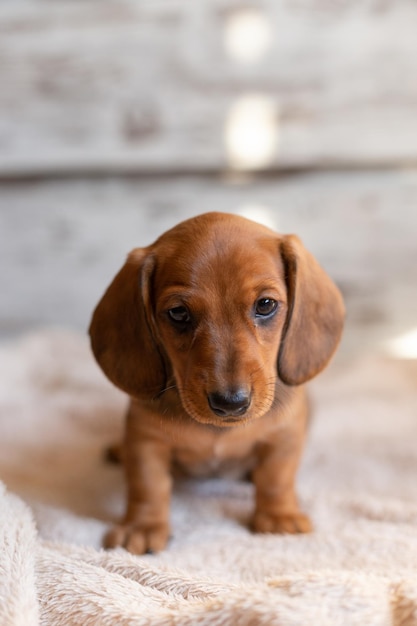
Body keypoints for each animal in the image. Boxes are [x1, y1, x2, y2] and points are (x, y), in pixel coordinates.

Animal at [90, 212, 344, 552]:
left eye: (265, 305)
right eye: (178, 312)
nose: (230, 403)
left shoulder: (285, 434)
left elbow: (276, 476)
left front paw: (279, 516)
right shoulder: (145, 440)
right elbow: (148, 485)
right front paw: (142, 525)